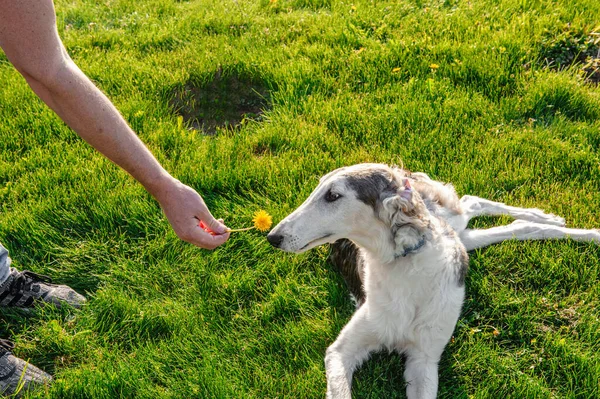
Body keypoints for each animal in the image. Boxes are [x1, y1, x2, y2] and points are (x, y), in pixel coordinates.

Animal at [268, 163, 600, 399]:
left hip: (452, 225)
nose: (272, 237)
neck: (402, 265)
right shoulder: (340, 351)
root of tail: (405, 173)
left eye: (333, 195)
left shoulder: (424, 358)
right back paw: (549, 221)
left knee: (474, 203)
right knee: (505, 222)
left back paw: (566, 225)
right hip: (463, 238)